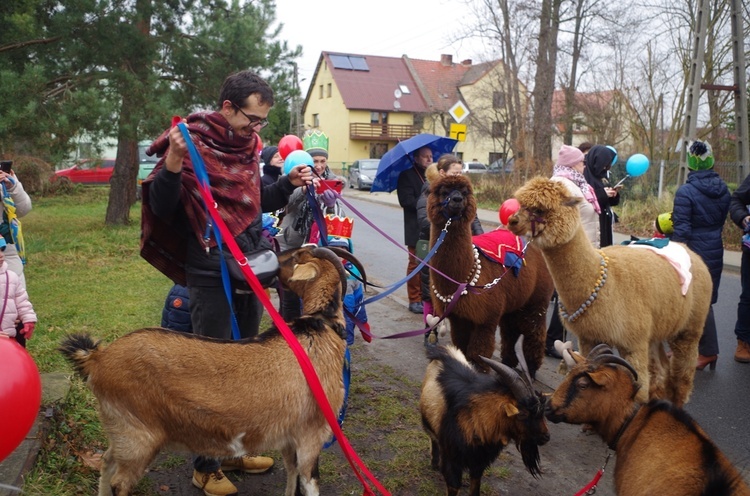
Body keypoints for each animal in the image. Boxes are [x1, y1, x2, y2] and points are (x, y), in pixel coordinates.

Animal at [58, 246, 362, 494]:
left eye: (297, 255)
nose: (276, 258)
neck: (318, 328)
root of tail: (98, 358)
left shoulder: (290, 436)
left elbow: (291, 477)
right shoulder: (312, 434)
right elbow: (309, 482)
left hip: (120, 428)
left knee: (107, 463)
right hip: (138, 434)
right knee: (120, 482)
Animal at [420, 344, 548, 496]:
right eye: (523, 414)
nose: (546, 437)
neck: (477, 417)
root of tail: (443, 350)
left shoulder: (479, 460)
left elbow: (476, 485)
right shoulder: (452, 457)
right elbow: (454, 485)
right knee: (433, 438)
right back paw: (434, 463)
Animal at [426, 174, 556, 376]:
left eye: (465, 192)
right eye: (444, 192)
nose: (457, 199)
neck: (464, 277)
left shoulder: (486, 317)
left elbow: (478, 351)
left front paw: (479, 373)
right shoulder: (459, 317)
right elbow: (461, 346)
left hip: (538, 298)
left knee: (534, 330)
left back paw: (531, 368)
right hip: (514, 299)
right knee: (510, 329)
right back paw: (509, 362)